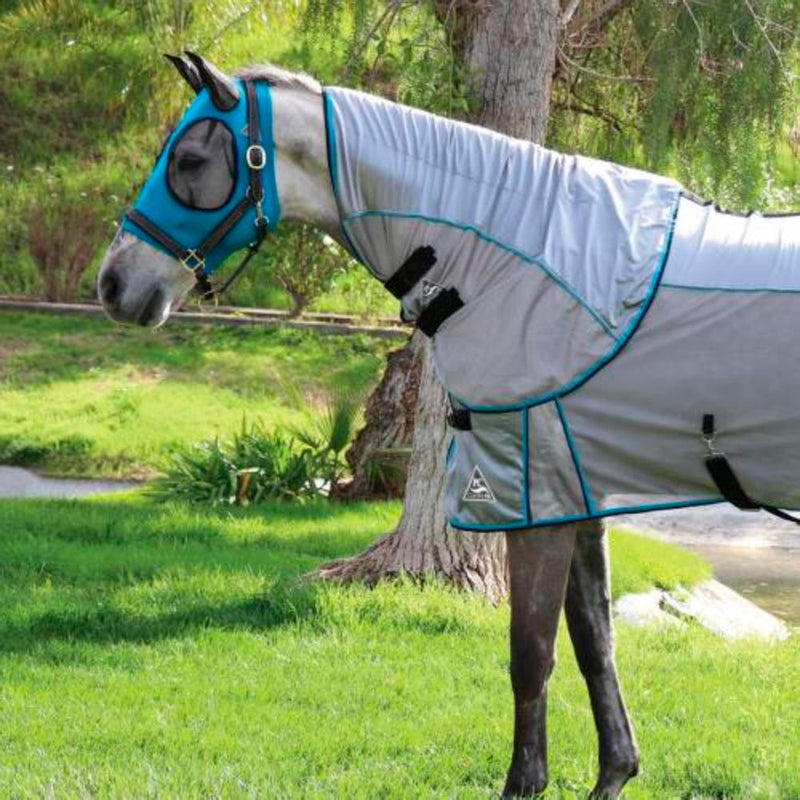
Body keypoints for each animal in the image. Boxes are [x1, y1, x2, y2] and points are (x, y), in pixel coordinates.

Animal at [97, 54, 797, 798]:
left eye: (190, 159)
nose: (114, 284)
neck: (517, 261)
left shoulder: (531, 506)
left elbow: (532, 655)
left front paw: (526, 781)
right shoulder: (576, 498)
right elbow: (595, 645)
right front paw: (616, 771)